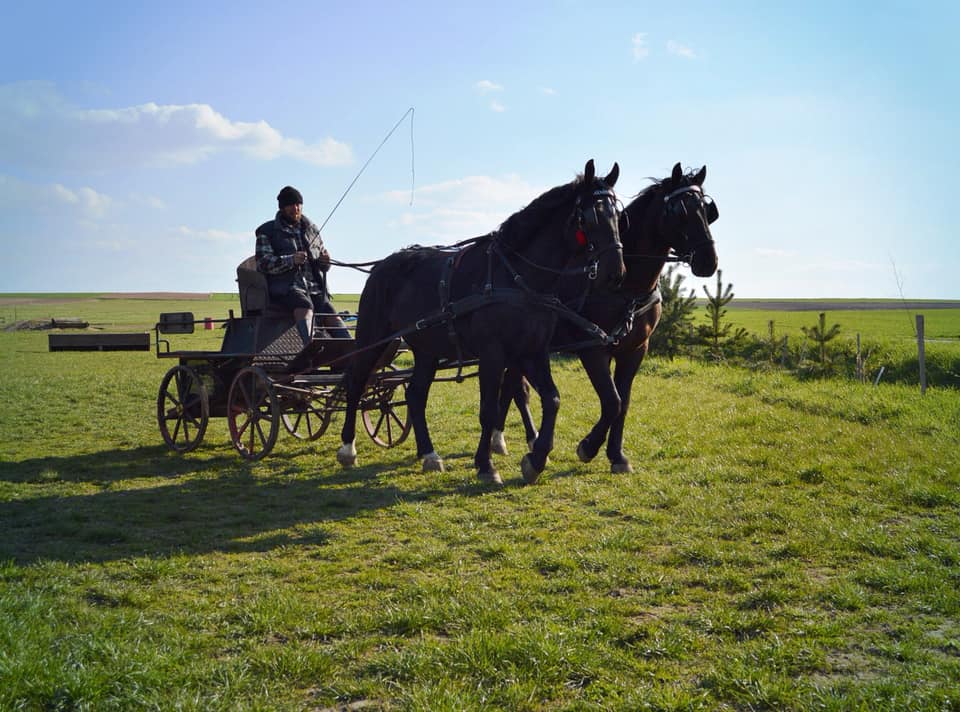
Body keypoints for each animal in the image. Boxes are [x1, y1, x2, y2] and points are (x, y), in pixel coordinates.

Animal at [336, 161, 624, 484]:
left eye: (617, 215)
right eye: (590, 217)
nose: (616, 272)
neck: (517, 276)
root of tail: (380, 267)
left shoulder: (533, 351)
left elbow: (552, 399)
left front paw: (536, 459)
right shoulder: (492, 353)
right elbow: (488, 409)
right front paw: (486, 465)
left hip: (426, 350)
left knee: (415, 394)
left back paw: (429, 454)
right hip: (374, 338)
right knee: (357, 382)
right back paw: (348, 448)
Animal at [496, 162, 720, 472]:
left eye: (706, 210)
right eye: (681, 212)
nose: (708, 261)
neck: (627, 287)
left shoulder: (635, 349)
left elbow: (623, 403)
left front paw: (617, 455)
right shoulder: (593, 348)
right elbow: (611, 401)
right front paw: (588, 447)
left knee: (514, 386)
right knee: (515, 387)